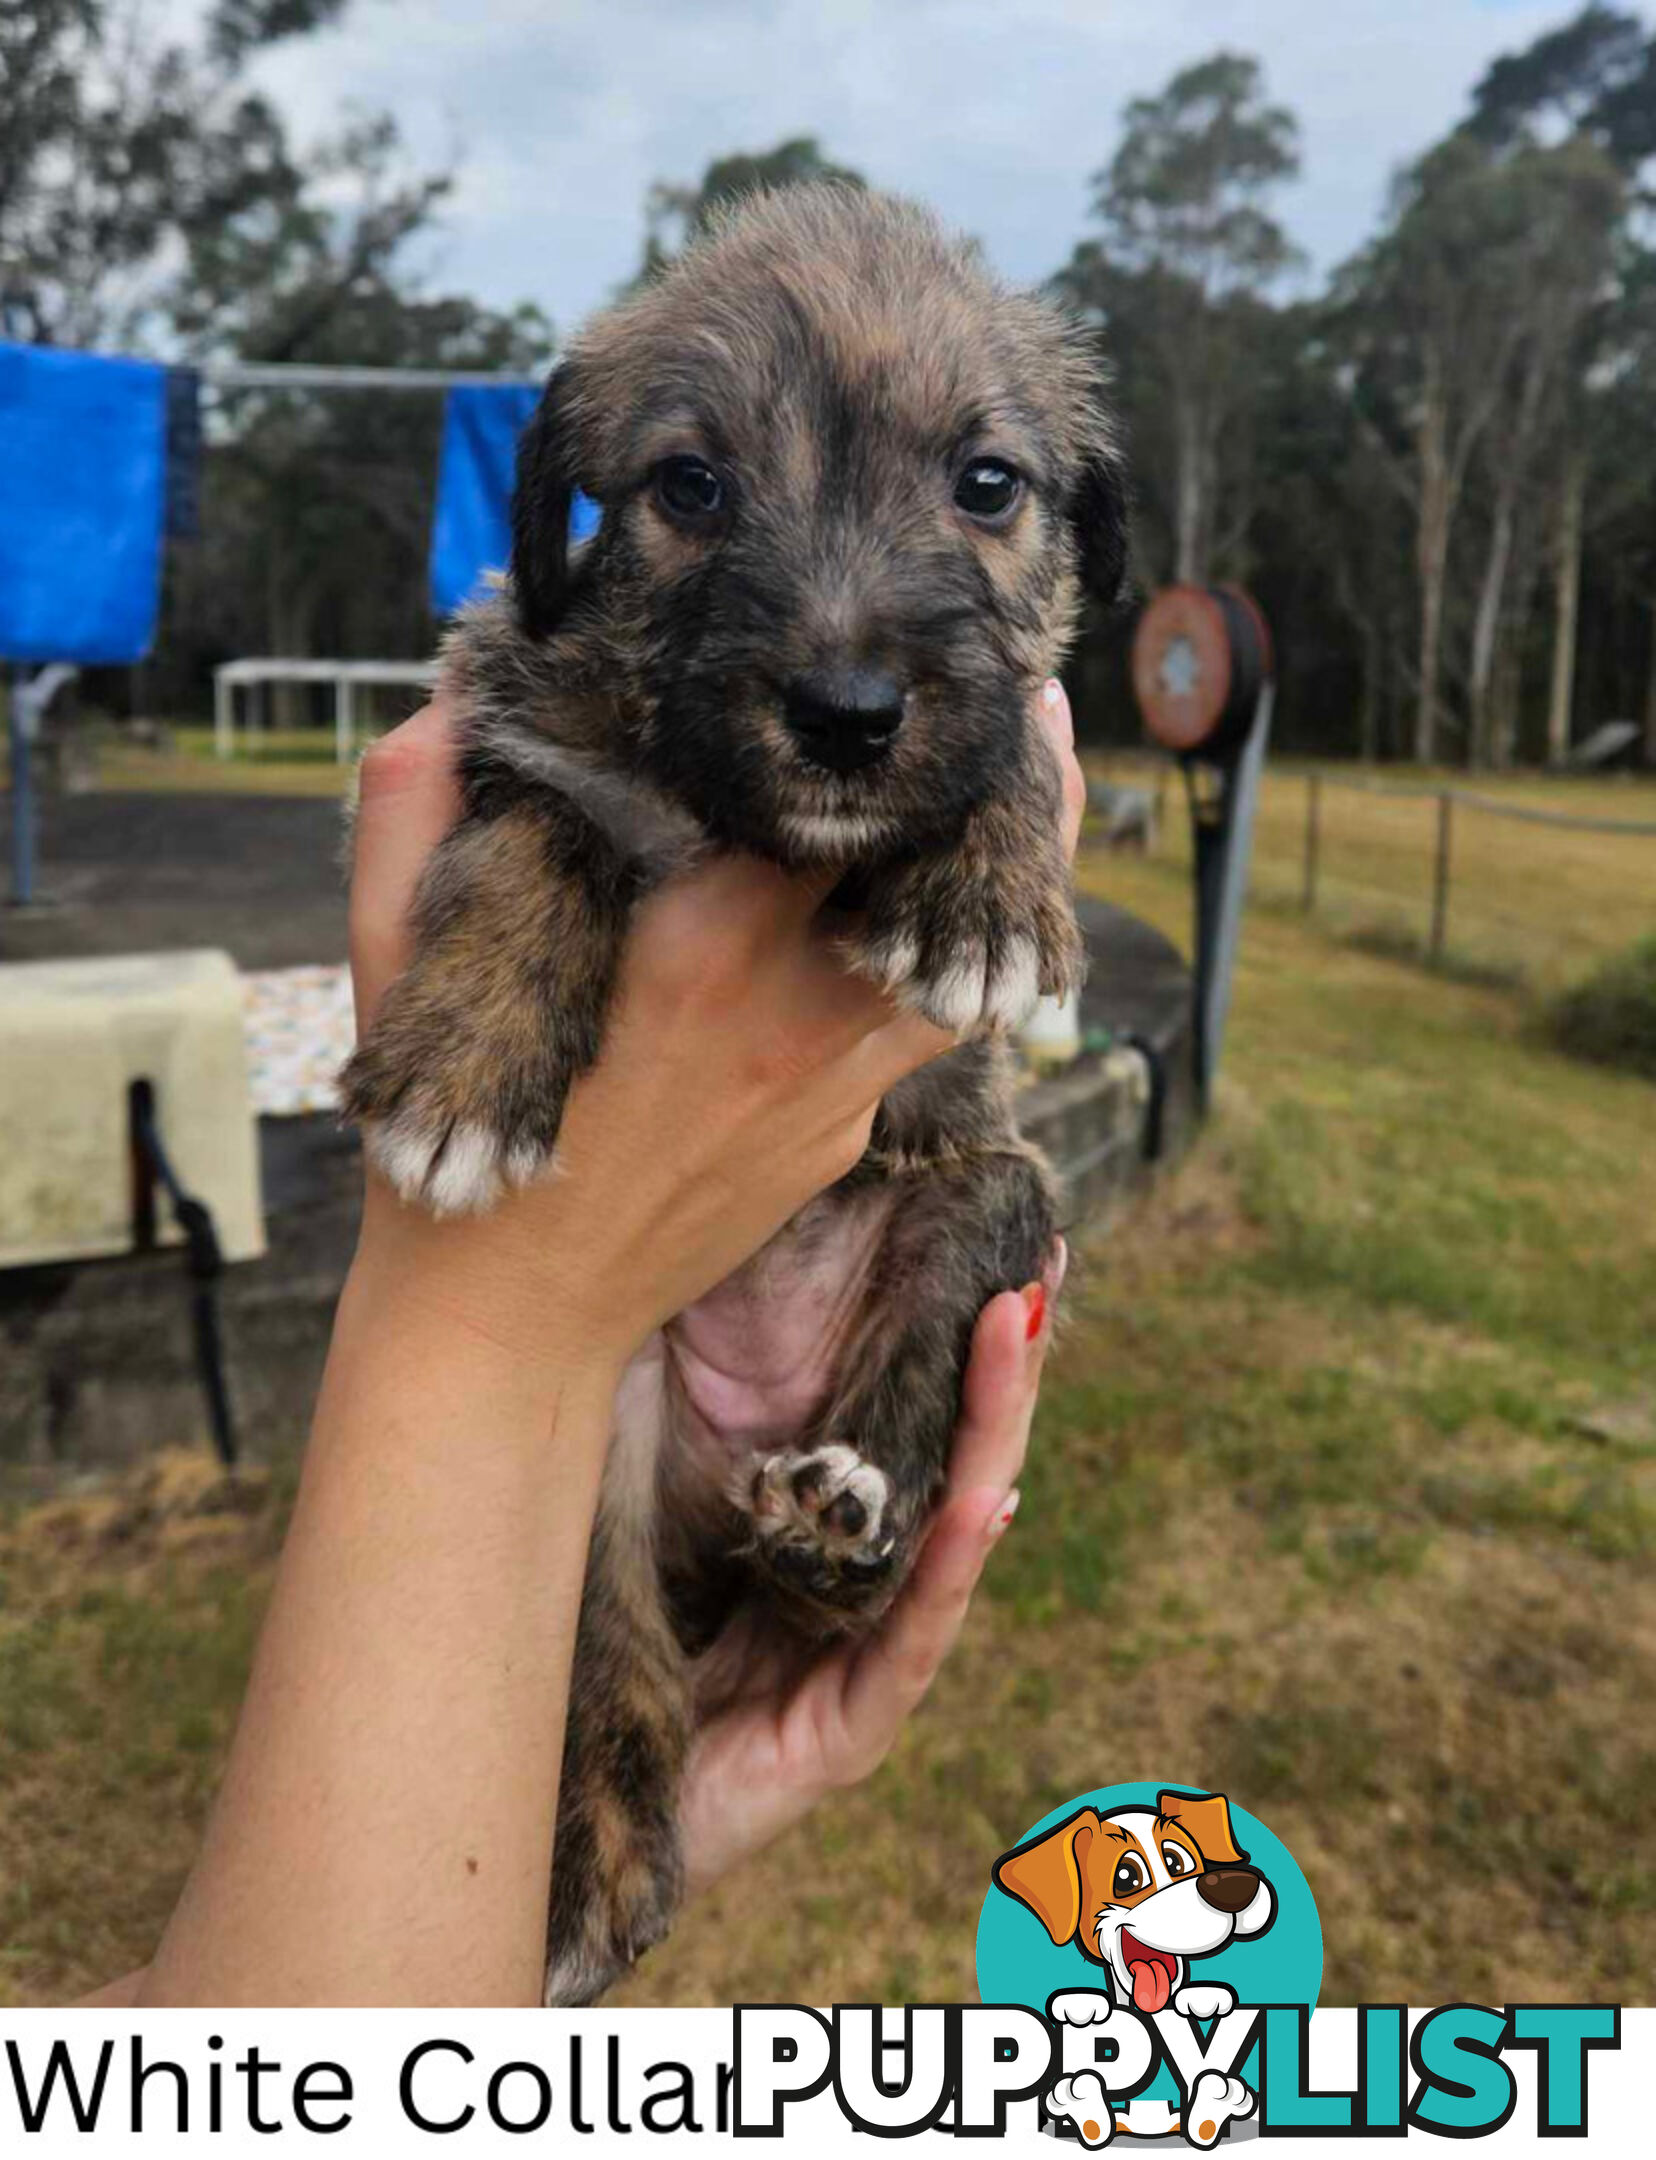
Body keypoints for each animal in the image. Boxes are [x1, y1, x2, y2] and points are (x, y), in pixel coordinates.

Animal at [343, 190, 1131, 2004]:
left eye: (989, 483)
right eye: (690, 486)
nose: (847, 716)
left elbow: (1021, 739)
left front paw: (987, 890)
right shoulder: (519, 730)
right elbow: (544, 831)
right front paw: (471, 1059)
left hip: (996, 1209)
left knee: (883, 1492)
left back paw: (842, 1515)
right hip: (598, 1441)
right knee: (608, 1647)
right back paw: (591, 1852)